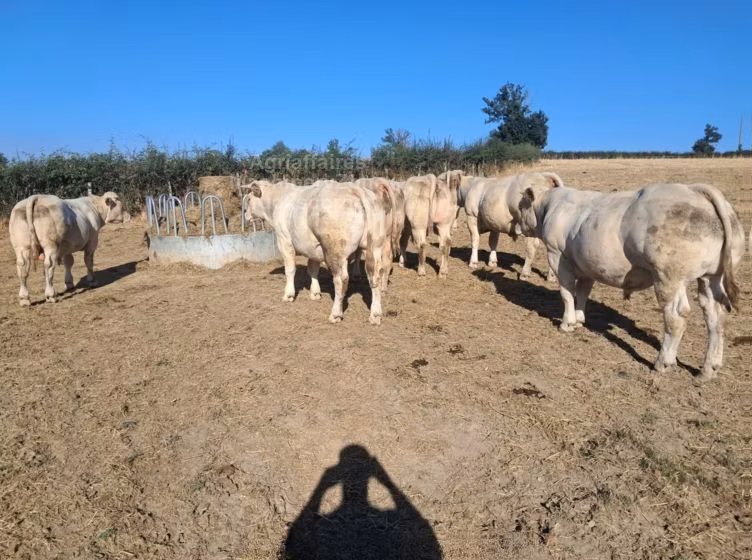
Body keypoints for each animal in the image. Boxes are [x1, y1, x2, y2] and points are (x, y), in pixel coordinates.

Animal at [245, 180, 393, 324]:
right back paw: (375, 315)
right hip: (375, 246)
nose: (245, 214)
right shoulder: (313, 249)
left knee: (341, 280)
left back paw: (336, 314)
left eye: (249, 199)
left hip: (336, 251)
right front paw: (315, 293)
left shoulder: (284, 240)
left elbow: (290, 270)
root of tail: (357, 190)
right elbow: (313, 269)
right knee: (375, 276)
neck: (277, 200)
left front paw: (289, 295)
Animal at [517, 182, 745, 380]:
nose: (517, 228)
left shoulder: (557, 256)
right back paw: (709, 368)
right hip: (710, 277)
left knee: (676, 318)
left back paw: (663, 362)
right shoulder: (587, 265)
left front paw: (567, 323)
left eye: (521, 207)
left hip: (668, 277)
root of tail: (694, 190)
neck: (550, 206)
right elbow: (582, 293)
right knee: (715, 317)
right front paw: (580, 319)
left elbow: (566, 294)